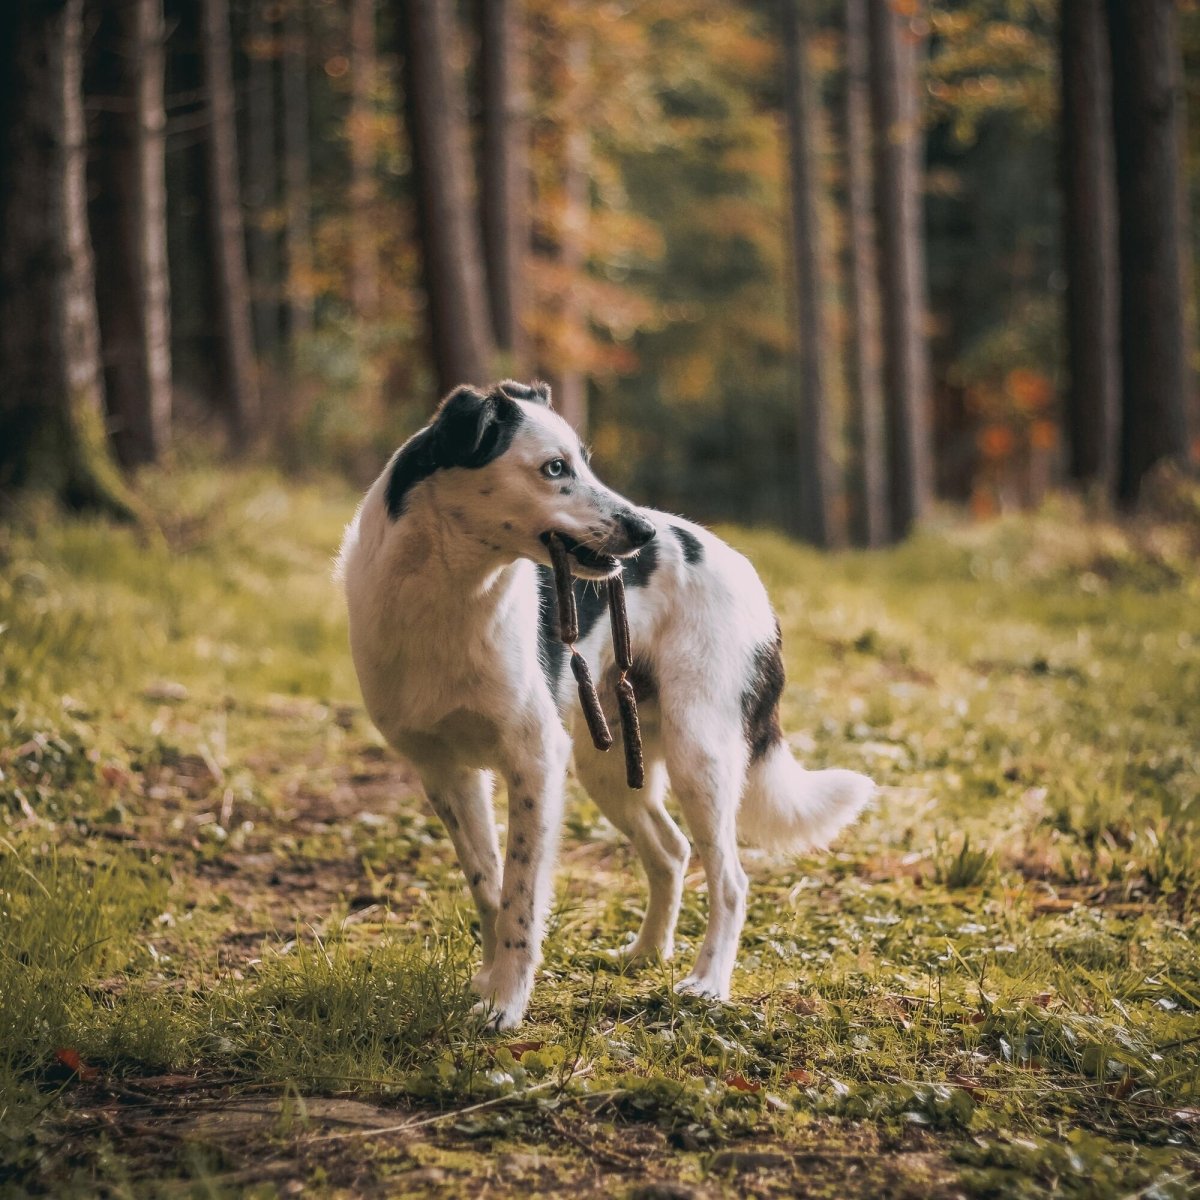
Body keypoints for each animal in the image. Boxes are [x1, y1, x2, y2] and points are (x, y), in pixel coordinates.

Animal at [338, 379, 873, 1027]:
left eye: (584, 462)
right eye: (555, 468)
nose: (643, 532)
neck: (449, 595)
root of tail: (745, 570)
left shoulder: (535, 762)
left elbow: (521, 895)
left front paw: (507, 1002)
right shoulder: (445, 773)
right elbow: (489, 886)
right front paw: (489, 982)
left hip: (699, 753)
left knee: (731, 880)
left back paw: (707, 983)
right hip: (610, 760)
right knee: (671, 851)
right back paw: (646, 953)